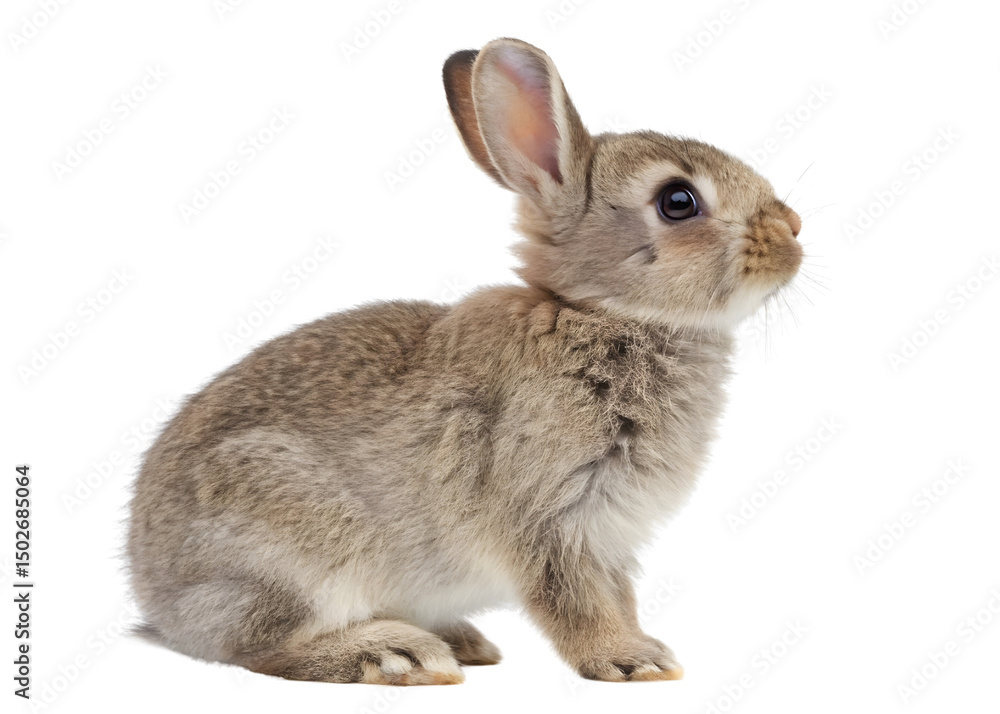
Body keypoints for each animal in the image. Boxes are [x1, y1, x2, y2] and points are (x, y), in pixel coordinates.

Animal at [126, 37, 802, 685]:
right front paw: (632, 661)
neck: (599, 313)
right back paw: (396, 655)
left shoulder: (608, 535)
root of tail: (157, 600)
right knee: (263, 647)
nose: (793, 229)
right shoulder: (549, 512)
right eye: (678, 201)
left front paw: (641, 645)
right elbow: (574, 599)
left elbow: (617, 595)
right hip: (293, 542)